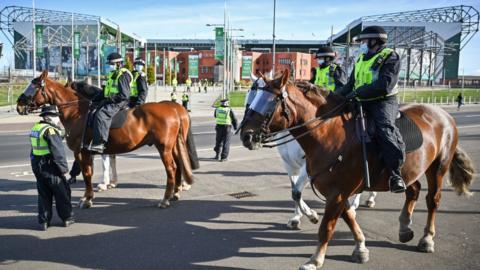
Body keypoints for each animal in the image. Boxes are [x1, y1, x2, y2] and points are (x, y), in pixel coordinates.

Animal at [16, 71, 197, 209]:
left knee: (171, 169)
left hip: (164, 147)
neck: (78, 112)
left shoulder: (81, 152)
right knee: (179, 165)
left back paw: (165, 199)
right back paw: (175, 193)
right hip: (173, 147)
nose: (19, 104)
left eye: (34, 86)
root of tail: (174, 108)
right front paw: (88, 196)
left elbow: (87, 173)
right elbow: (91, 172)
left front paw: (87, 199)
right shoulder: (88, 152)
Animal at [242, 70, 474, 270]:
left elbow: (326, 226)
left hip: (438, 167)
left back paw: (427, 238)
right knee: (413, 190)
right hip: (409, 169)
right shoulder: (330, 187)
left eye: (270, 101)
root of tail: (442, 114)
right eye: (250, 97)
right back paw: (404, 227)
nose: (245, 135)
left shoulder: (336, 192)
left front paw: (315, 258)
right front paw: (360, 247)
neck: (329, 134)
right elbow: (347, 217)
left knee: (432, 199)